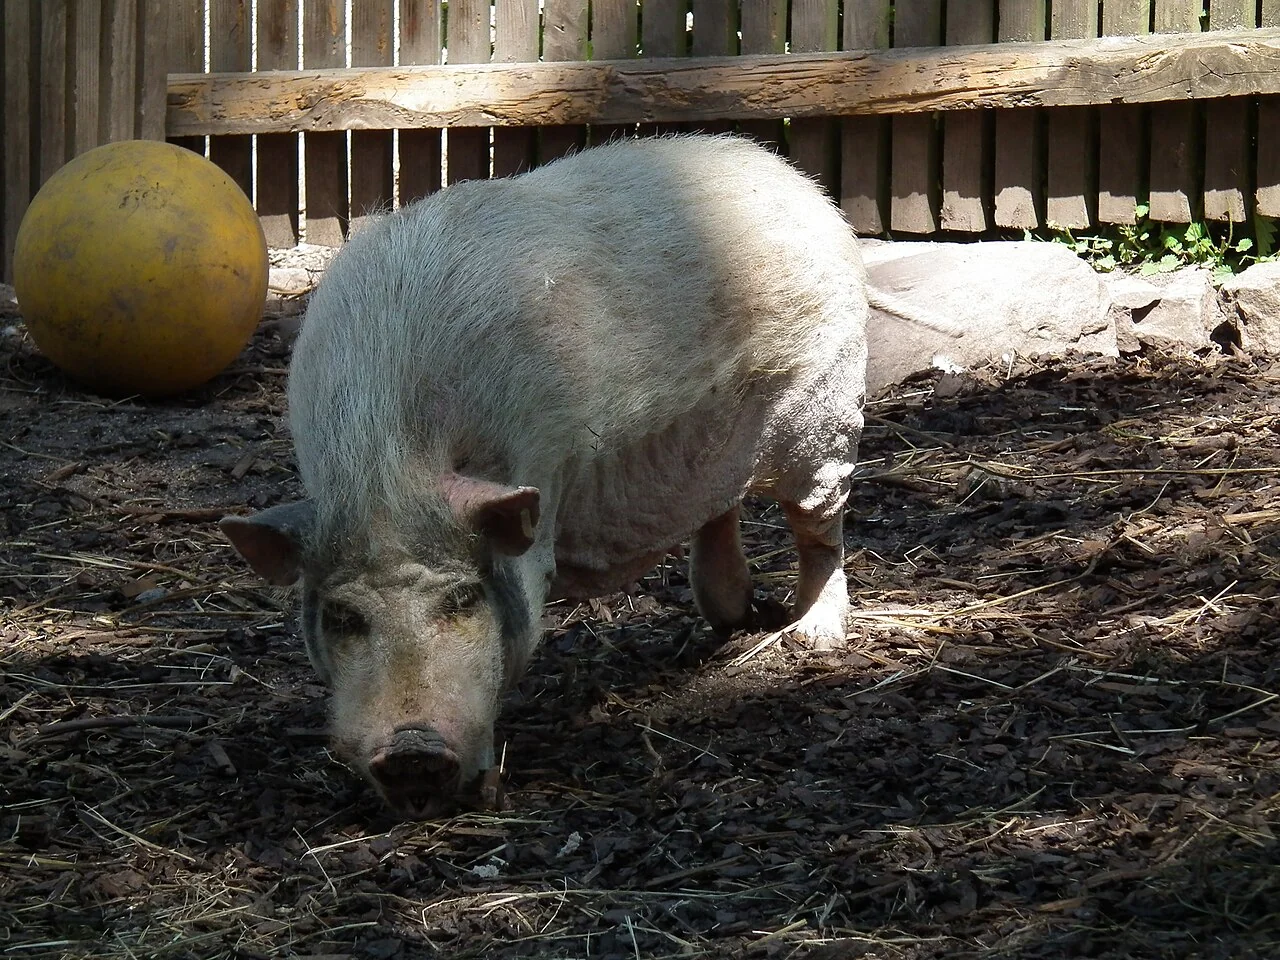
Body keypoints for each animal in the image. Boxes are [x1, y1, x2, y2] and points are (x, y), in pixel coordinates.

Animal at [220, 134, 868, 818]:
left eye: (463, 600)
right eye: (343, 616)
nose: (411, 750)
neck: (390, 472)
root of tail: (798, 182)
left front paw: (486, 791)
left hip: (825, 418)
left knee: (819, 530)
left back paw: (813, 638)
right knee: (719, 511)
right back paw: (734, 620)